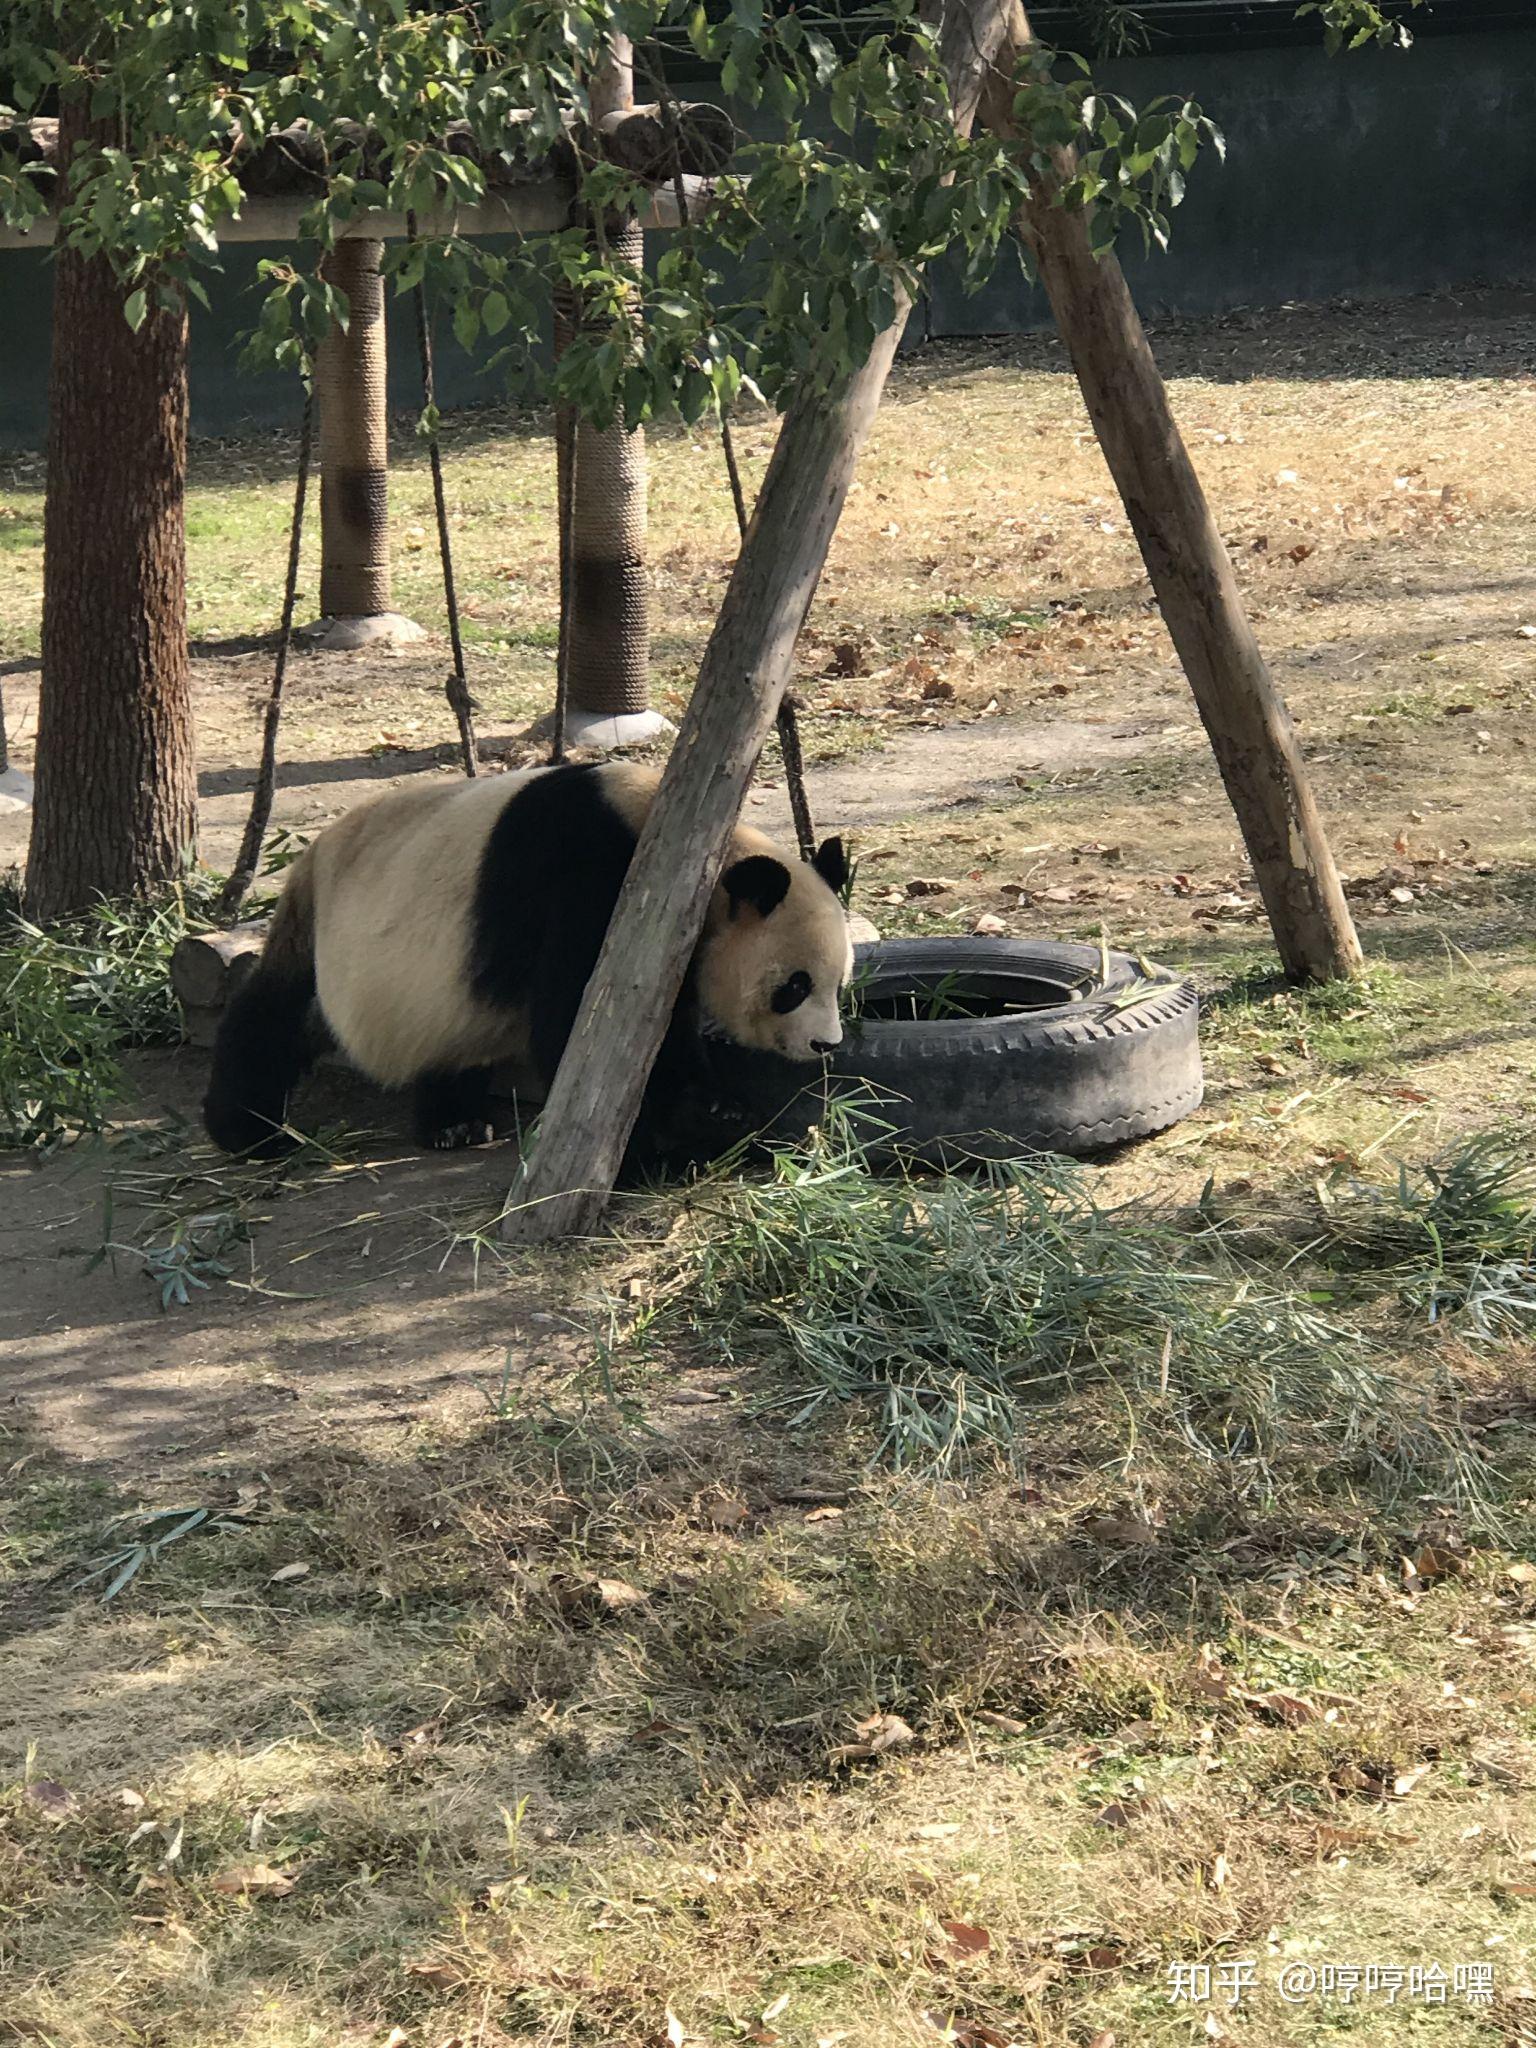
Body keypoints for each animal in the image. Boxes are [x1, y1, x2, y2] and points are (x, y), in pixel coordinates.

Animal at [199, 761, 856, 1179]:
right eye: (794, 986)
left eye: (839, 983)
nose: (825, 1044)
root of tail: (309, 851)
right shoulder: (594, 881)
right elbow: (581, 1023)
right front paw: (664, 1151)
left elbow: (664, 1028)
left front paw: (717, 1109)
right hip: (330, 940)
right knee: (276, 1016)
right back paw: (247, 1130)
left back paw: (456, 1124)